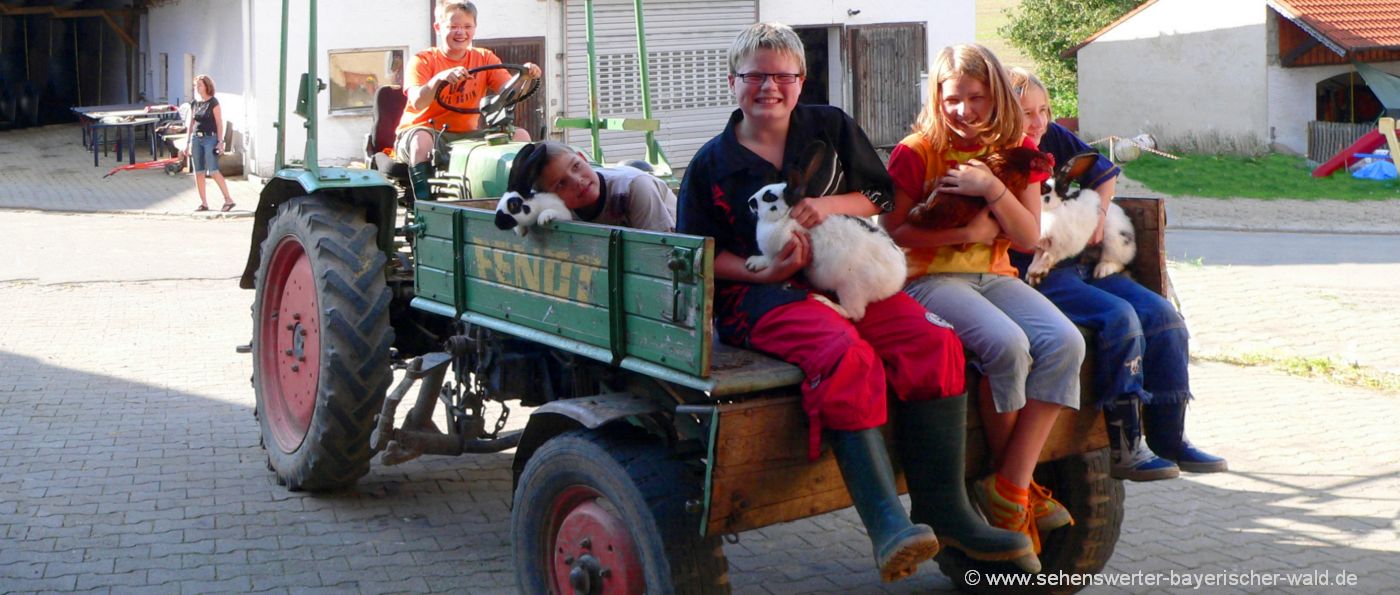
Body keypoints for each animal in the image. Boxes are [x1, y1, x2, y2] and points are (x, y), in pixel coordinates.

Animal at [744, 140, 907, 320]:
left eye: (769, 197)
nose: (749, 201)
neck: (786, 216)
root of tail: (897, 280)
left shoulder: (779, 250)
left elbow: (770, 260)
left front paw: (753, 263)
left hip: (850, 287)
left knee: (854, 313)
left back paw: (824, 301)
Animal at [1030, 150, 1136, 285]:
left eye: (1042, 188)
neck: (1052, 210)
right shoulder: (1040, 245)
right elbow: (1037, 256)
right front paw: (1032, 274)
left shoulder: (1064, 244)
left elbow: (1049, 255)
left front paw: (1038, 271)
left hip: (1115, 242)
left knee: (1119, 263)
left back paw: (1102, 270)